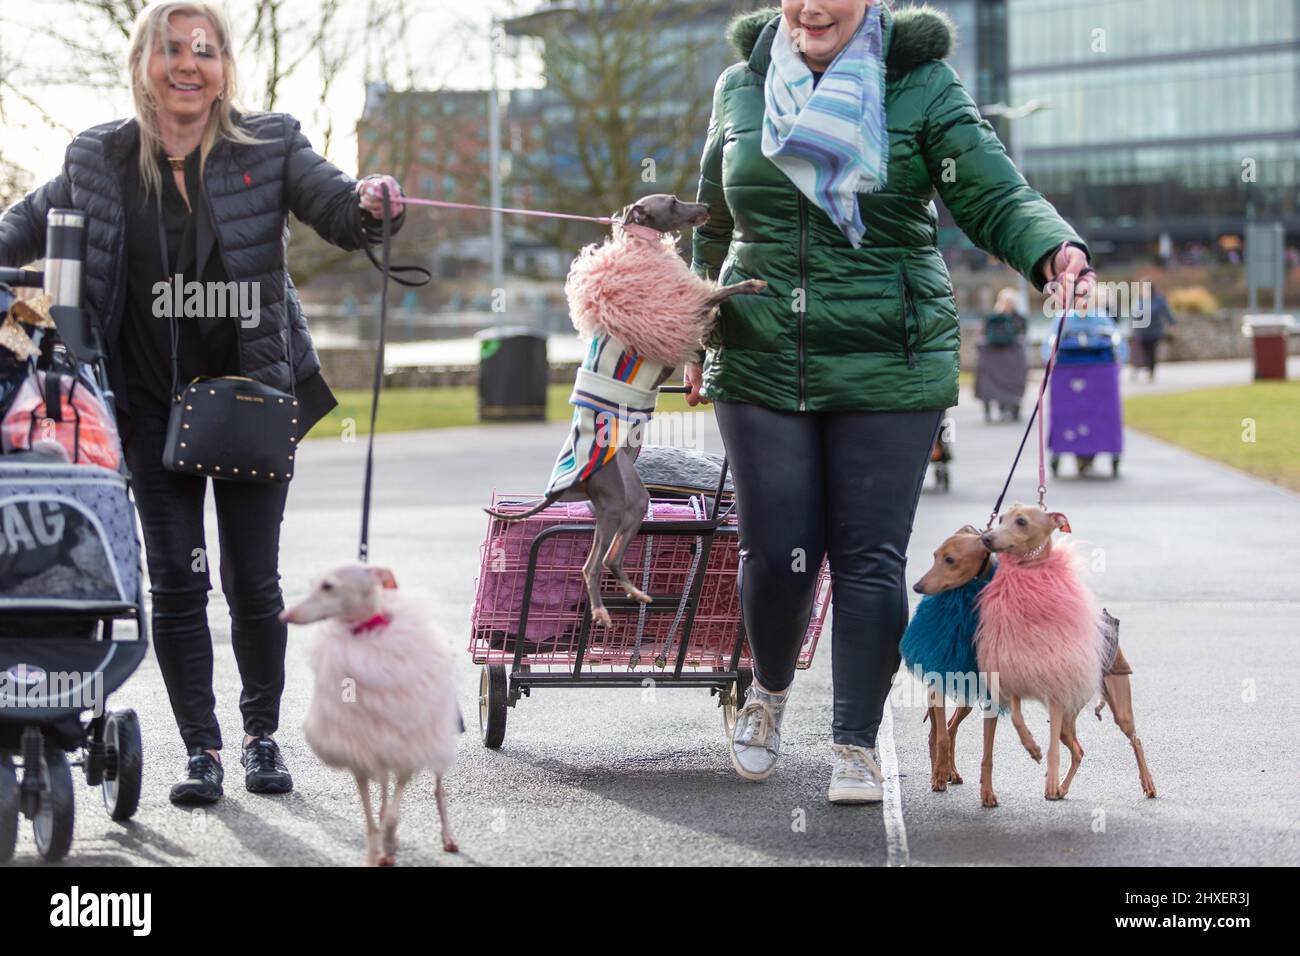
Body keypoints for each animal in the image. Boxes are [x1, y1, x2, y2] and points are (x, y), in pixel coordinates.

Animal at [280, 567, 462, 868]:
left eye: (328, 586)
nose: (284, 616)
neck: (368, 635)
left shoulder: (405, 757)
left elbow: (393, 815)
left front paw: (388, 845)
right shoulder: (360, 759)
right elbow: (371, 820)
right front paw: (375, 852)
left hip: (433, 743)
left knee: (438, 791)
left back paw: (447, 837)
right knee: (384, 795)